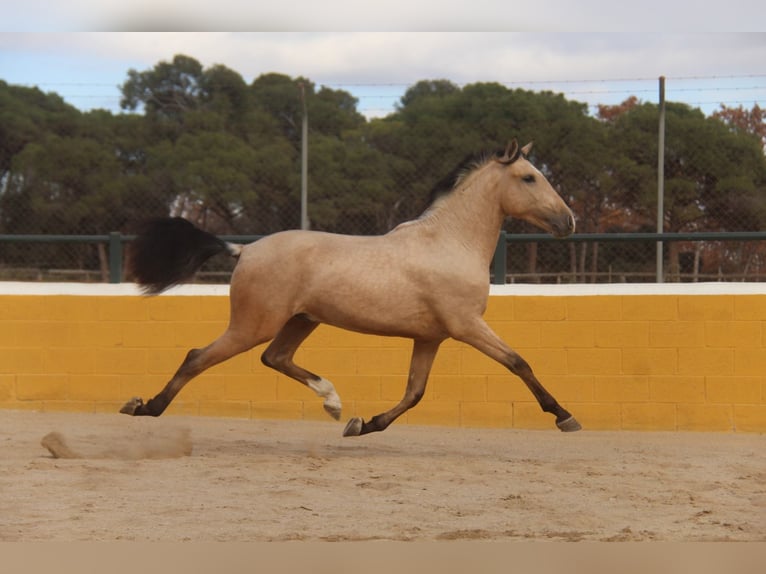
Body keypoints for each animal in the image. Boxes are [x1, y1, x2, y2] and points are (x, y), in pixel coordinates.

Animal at [118, 141, 584, 436]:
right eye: (528, 178)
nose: (568, 221)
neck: (450, 242)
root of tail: (244, 249)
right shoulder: (466, 326)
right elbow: (519, 362)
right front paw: (564, 416)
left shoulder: (430, 337)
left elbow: (414, 393)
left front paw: (363, 425)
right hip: (253, 325)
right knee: (198, 357)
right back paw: (145, 407)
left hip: (301, 321)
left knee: (275, 357)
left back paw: (333, 402)